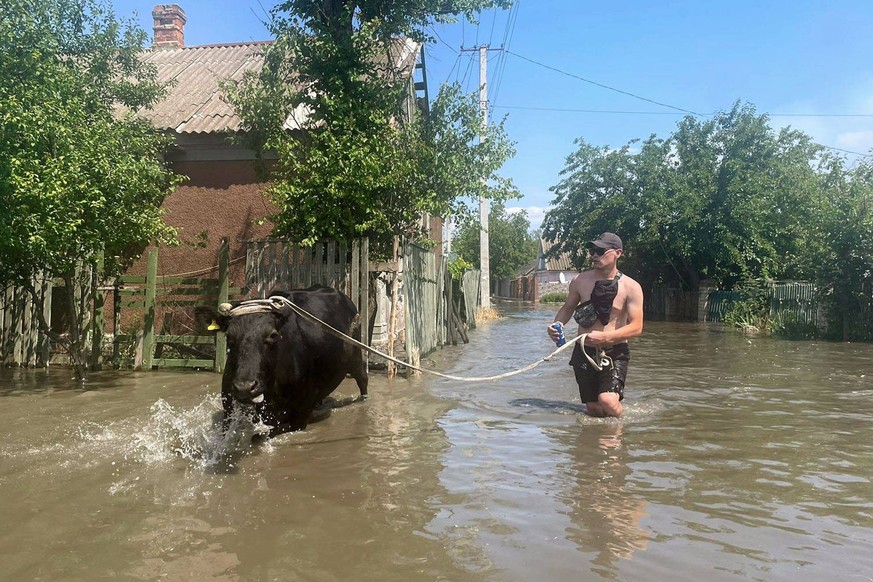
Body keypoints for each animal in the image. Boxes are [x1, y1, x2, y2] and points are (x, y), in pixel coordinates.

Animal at [218, 286, 372, 436]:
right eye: (228, 336)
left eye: (273, 335)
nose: (245, 387)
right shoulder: (228, 412)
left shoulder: (302, 411)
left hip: (356, 357)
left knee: (362, 379)